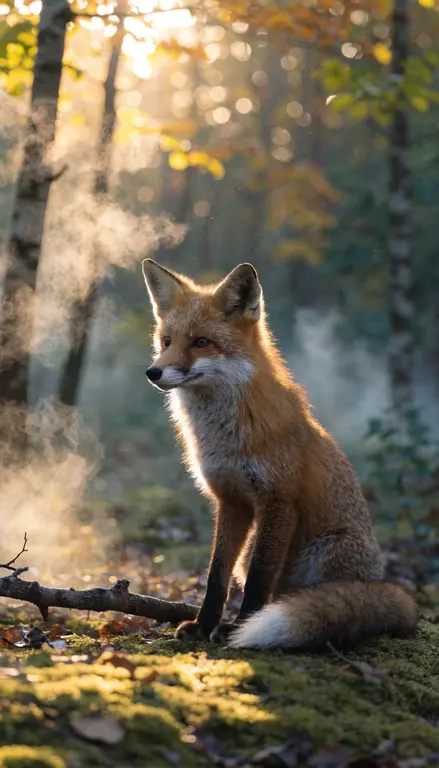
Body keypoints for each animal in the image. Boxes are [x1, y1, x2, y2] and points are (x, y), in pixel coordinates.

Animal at [141, 258, 418, 651]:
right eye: (166, 341)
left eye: (200, 342)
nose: (153, 372)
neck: (225, 438)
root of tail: (379, 581)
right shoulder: (231, 501)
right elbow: (216, 576)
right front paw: (203, 625)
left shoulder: (279, 501)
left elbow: (260, 577)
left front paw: (239, 628)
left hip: (325, 550)